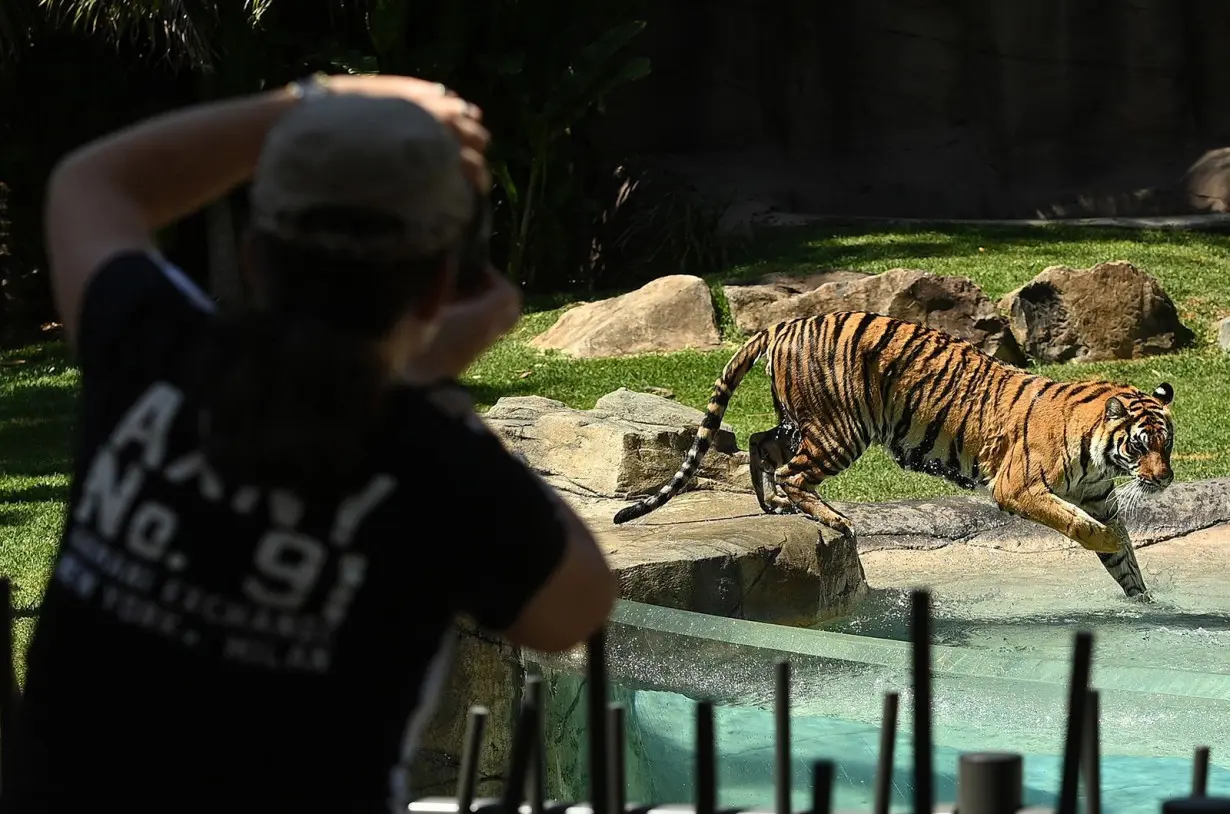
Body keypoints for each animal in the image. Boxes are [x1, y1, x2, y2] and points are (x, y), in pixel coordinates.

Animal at [610, 309, 1175, 602]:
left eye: (1166, 444)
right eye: (1141, 445)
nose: (1164, 479)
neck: (1100, 453)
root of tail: (786, 324)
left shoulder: (1099, 497)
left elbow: (1124, 560)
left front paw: (1146, 603)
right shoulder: (1019, 488)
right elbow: (1084, 526)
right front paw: (1109, 544)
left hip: (801, 420)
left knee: (758, 441)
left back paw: (771, 504)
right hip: (840, 429)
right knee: (793, 471)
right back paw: (831, 518)